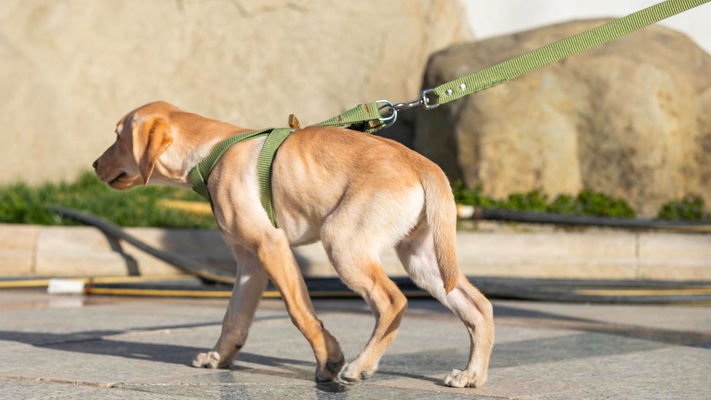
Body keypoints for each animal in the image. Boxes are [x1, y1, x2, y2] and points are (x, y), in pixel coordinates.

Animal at [93, 101, 496, 390]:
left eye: (117, 137)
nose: (95, 164)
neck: (211, 150)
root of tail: (422, 163)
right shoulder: (249, 262)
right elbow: (234, 318)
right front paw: (219, 359)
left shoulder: (271, 245)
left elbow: (299, 311)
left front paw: (329, 360)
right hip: (423, 259)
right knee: (478, 307)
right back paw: (471, 376)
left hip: (343, 241)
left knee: (392, 301)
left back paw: (360, 366)